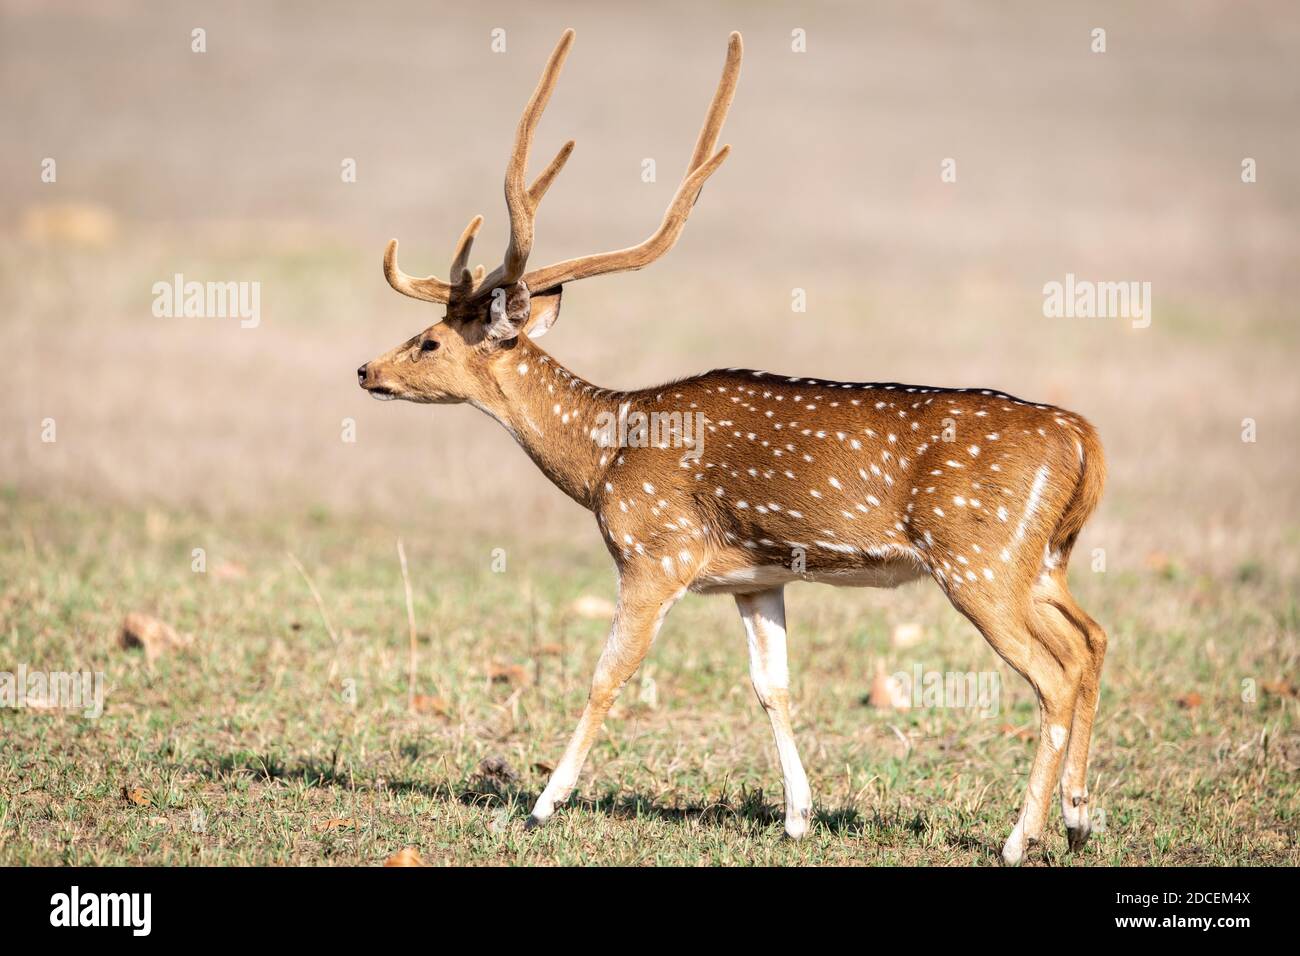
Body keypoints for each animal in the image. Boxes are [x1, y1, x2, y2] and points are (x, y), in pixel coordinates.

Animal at [357, 29, 1108, 866]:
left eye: (428, 342)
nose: (366, 369)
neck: (604, 459)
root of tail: (1083, 438)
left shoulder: (654, 551)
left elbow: (608, 674)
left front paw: (543, 804)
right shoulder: (756, 576)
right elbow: (771, 685)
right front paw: (799, 815)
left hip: (980, 560)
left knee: (1053, 673)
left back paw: (1020, 837)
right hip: (1041, 561)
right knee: (1092, 641)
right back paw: (1078, 817)